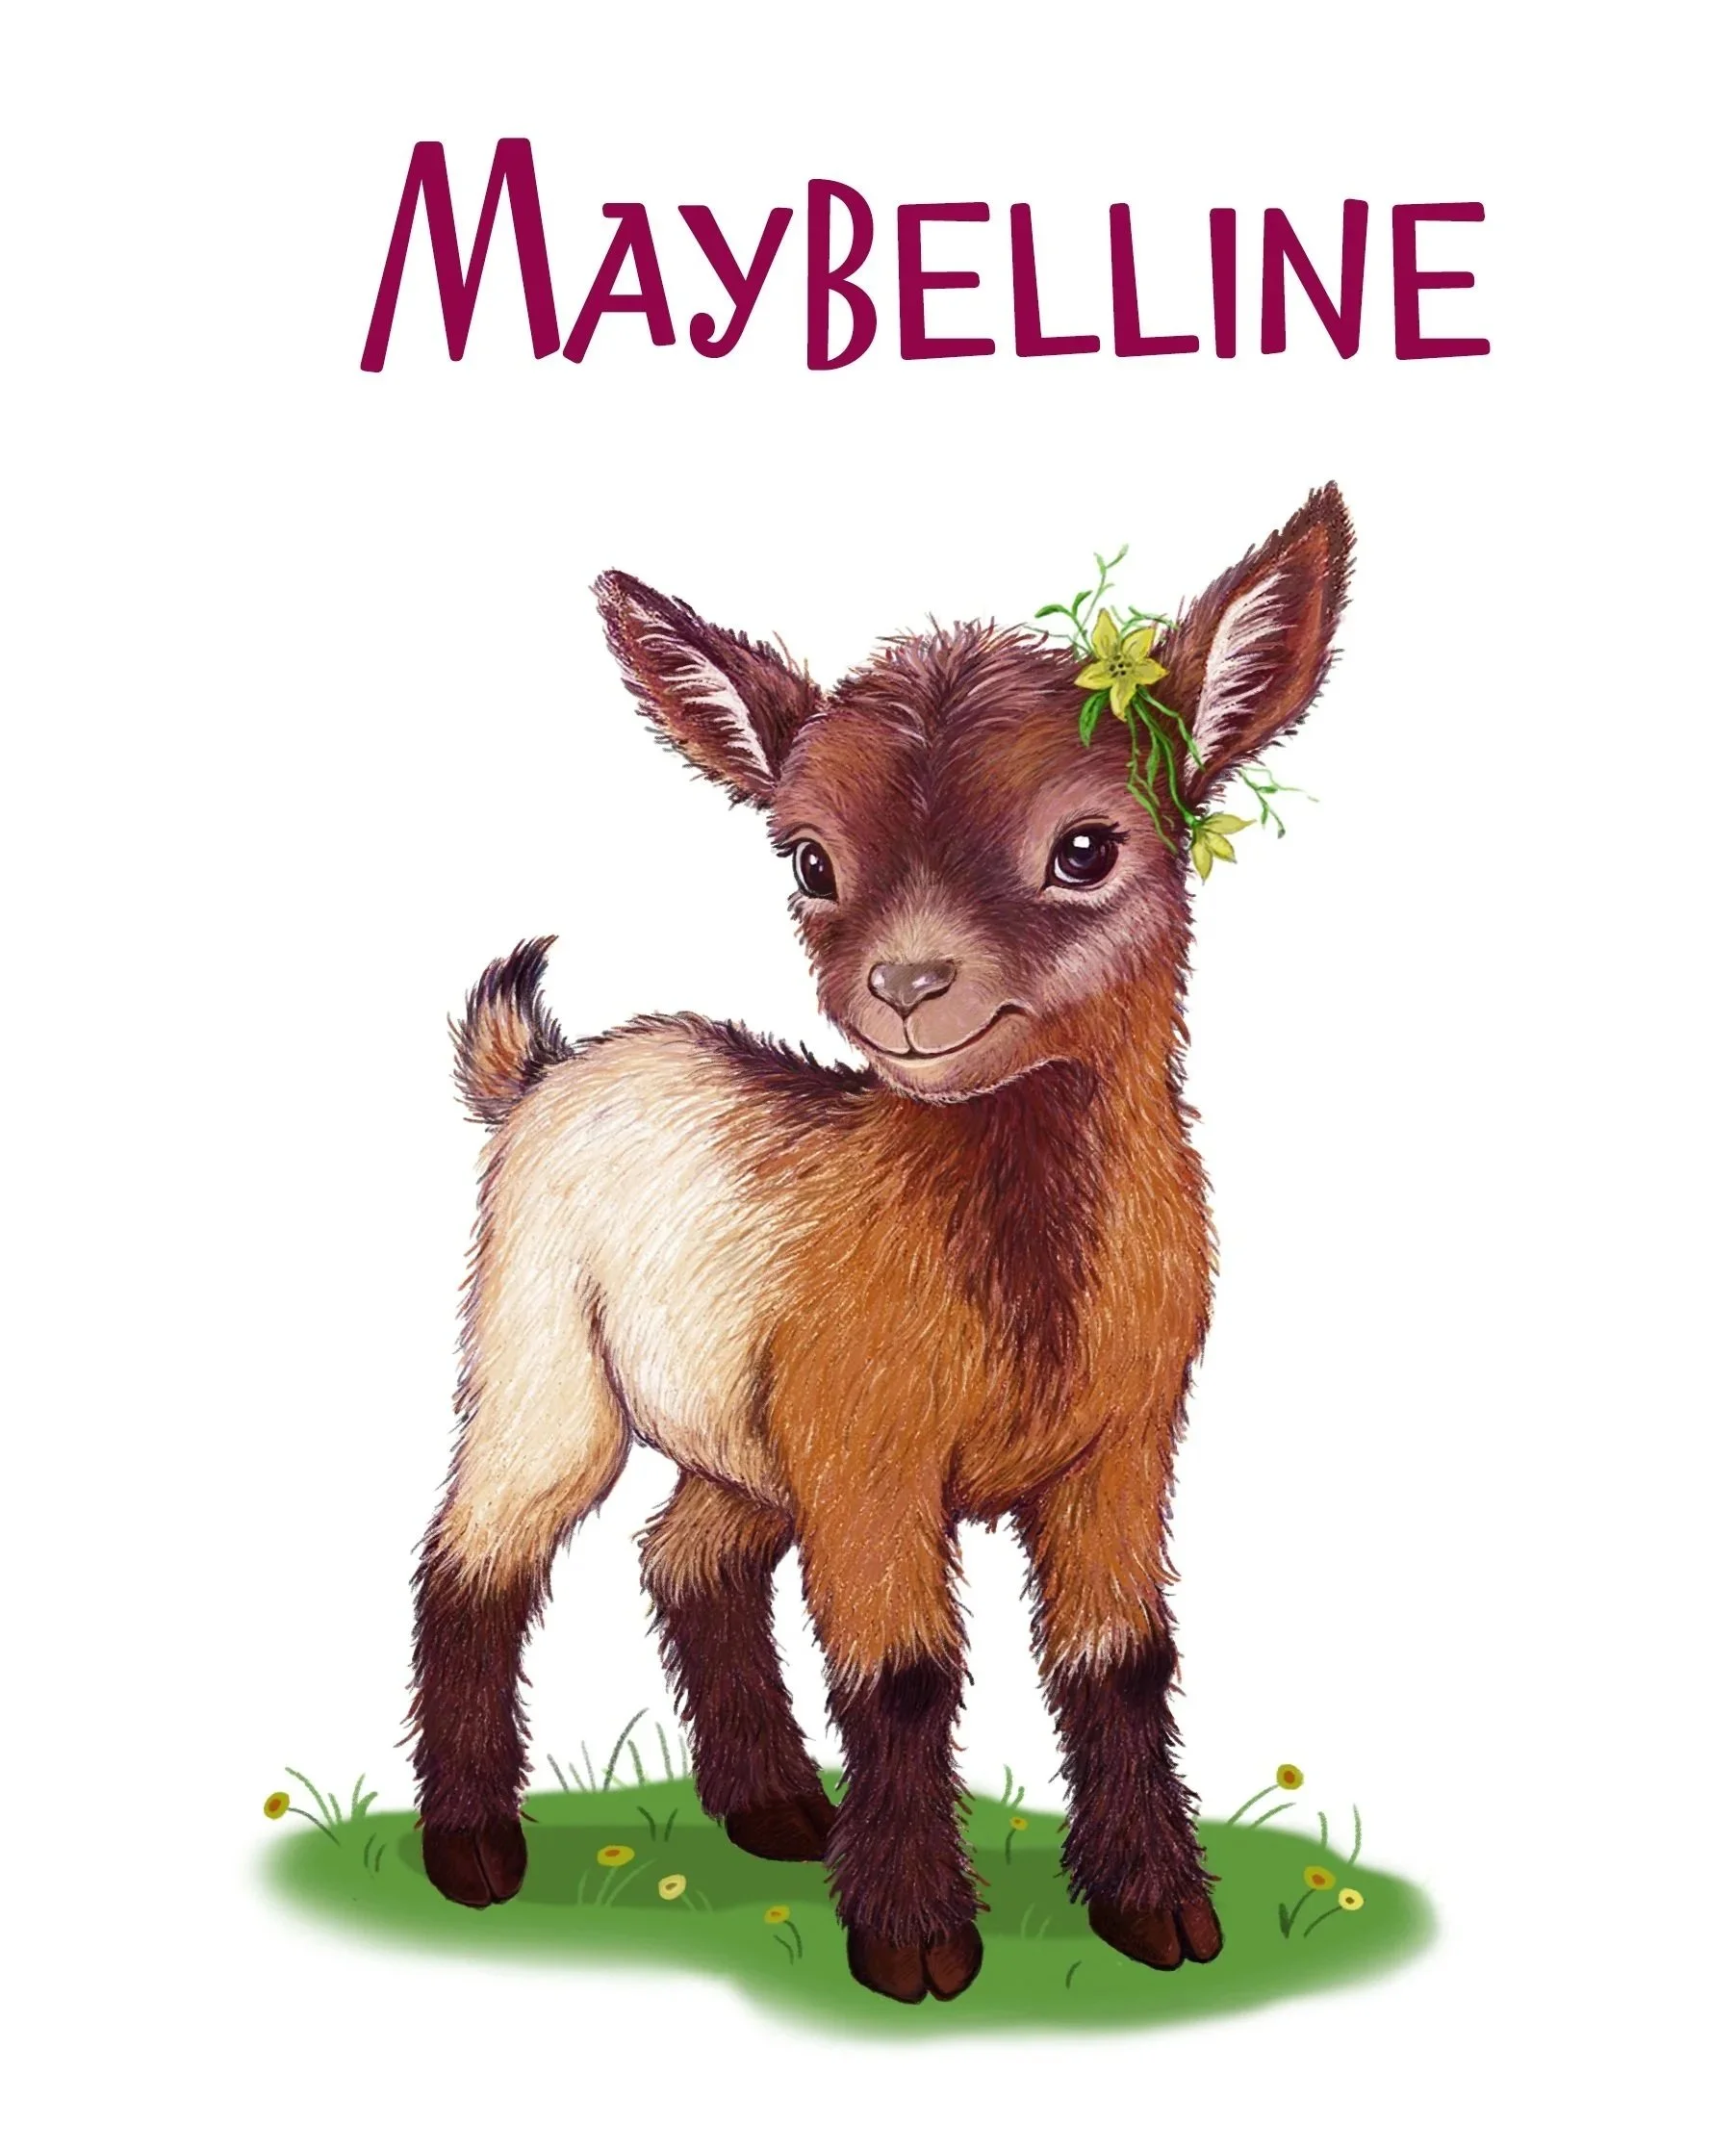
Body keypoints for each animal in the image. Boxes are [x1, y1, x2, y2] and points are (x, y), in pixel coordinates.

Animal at [410, 484, 1352, 2004]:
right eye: (809, 860)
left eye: (1086, 847)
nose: (907, 986)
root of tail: (546, 1069)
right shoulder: (872, 1450)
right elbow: (901, 1673)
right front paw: (915, 1939)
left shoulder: (1123, 1439)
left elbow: (1118, 1659)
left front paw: (1156, 1910)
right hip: (542, 1355)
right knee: (478, 1554)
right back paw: (473, 1850)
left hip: (742, 1429)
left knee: (690, 1553)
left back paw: (776, 1809)